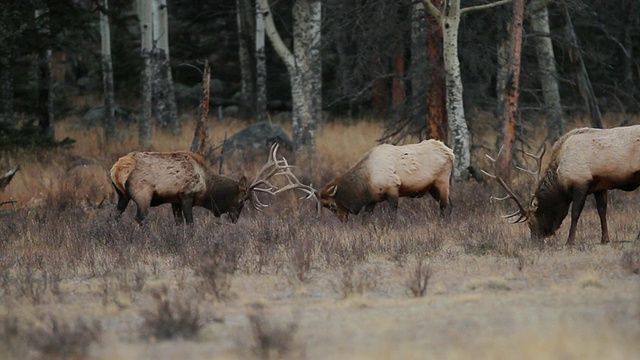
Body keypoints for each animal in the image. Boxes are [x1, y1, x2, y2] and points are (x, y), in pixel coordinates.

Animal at [112, 143, 320, 222]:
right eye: (241, 200)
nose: (234, 219)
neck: (207, 186)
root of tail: (117, 168)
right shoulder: (186, 196)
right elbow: (190, 223)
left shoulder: (174, 200)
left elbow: (178, 222)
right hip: (142, 194)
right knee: (140, 218)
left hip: (121, 195)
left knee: (115, 216)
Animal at [320, 140, 456, 222]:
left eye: (332, 205)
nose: (342, 219)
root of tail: (450, 152)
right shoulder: (372, 199)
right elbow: (366, 218)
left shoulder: (393, 189)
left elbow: (391, 216)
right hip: (432, 188)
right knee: (448, 204)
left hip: (442, 182)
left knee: (445, 205)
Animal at [482, 125, 640, 246]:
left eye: (530, 223)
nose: (534, 242)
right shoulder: (600, 186)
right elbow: (602, 211)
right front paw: (604, 239)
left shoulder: (581, 183)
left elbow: (575, 213)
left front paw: (570, 241)